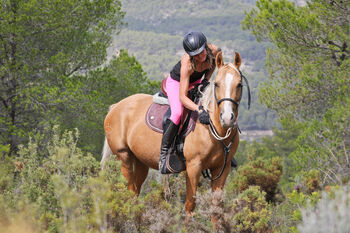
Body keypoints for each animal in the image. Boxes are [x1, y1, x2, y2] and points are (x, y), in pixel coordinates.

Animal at [100, 50, 245, 218]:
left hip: (141, 161)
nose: (227, 118)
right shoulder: (193, 167)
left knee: (135, 192)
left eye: (239, 84)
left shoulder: (222, 168)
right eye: (217, 84)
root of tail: (116, 106)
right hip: (124, 157)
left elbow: (216, 209)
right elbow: (190, 205)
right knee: (130, 192)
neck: (212, 128)